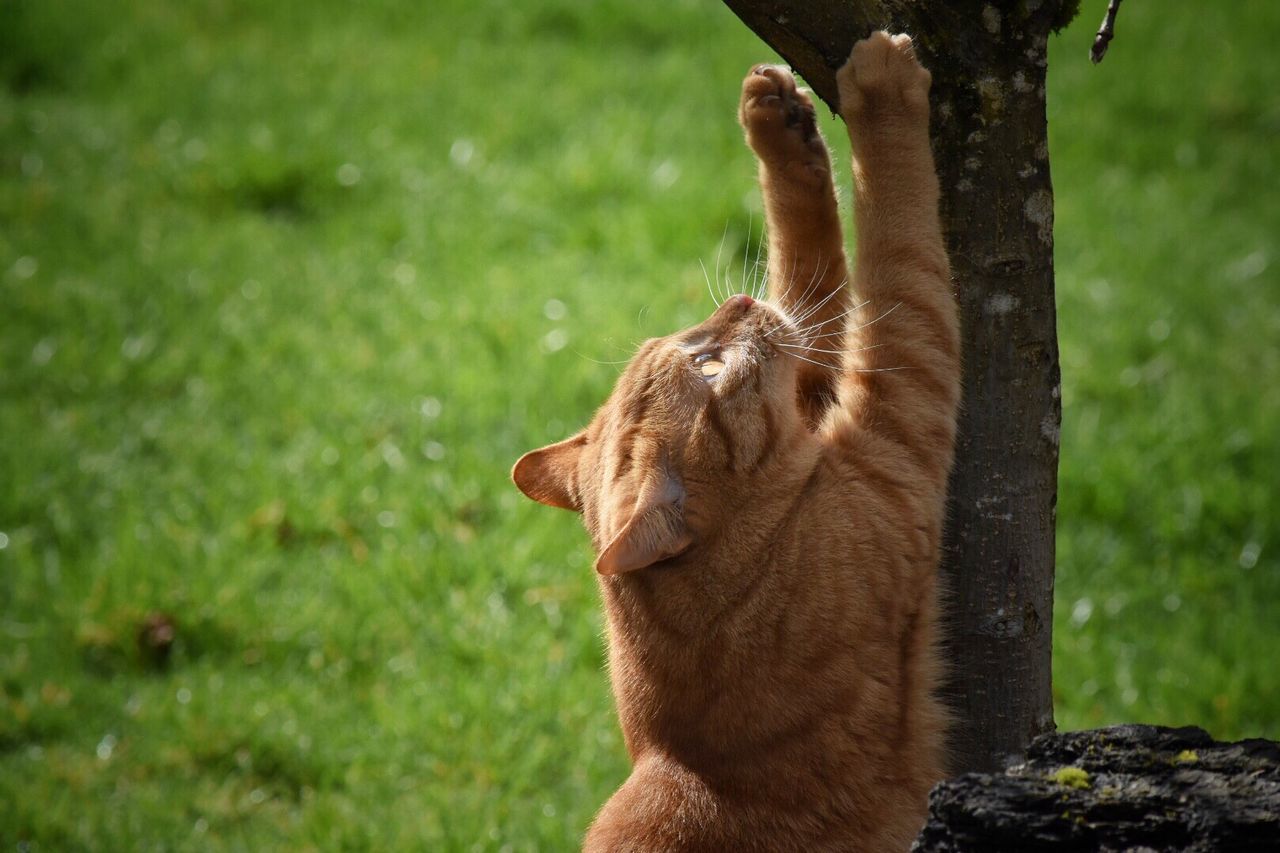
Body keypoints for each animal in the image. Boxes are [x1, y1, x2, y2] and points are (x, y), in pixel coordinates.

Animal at [514, 33, 957, 850]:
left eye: (692, 342)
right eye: (707, 365)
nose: (741, 302)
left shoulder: (813, 387)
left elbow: (810, 261)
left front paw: (777, 122)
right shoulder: (899, 416)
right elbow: (896, 235)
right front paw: (881, 90)